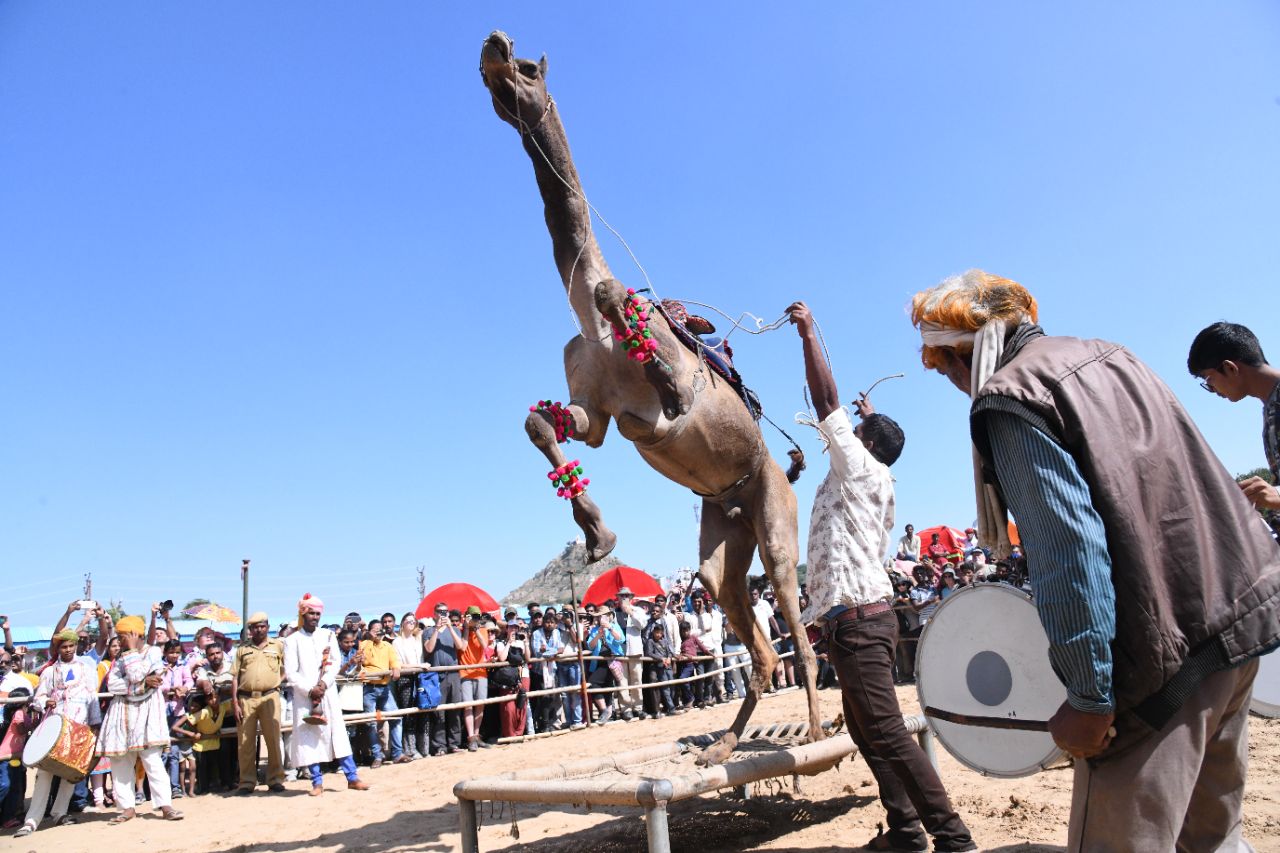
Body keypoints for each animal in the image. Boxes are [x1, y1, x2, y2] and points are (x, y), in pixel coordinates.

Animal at [479, 30, 823, 764]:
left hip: (774, 513)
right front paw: (597, 533)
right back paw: (722, 746)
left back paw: (810, 729)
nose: (494, 45)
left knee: (795, 622)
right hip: (723, 529)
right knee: (749, 632)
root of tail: (780, 473)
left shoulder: (666, 393)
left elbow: (654, 372)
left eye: (526, 70)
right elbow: (544, 425)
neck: (592, 322)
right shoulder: (595, 411)